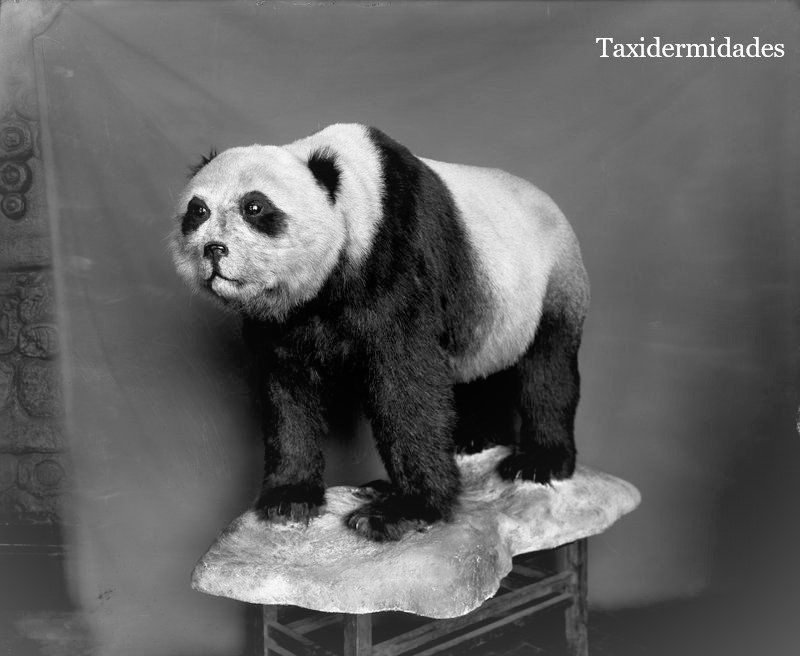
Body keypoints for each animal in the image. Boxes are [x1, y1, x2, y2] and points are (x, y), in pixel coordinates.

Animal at [171, 124, 589, 542]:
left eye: (255, 208)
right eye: (198, 210)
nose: (214, 249)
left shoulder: (397, 259)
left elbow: (407, 385)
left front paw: (404, 510)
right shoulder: (283, 319)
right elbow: (287, 390)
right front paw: (289, 497)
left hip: (547, 282)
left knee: (547, 367)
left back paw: (538, 461)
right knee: (479, 369)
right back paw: (473, 439)